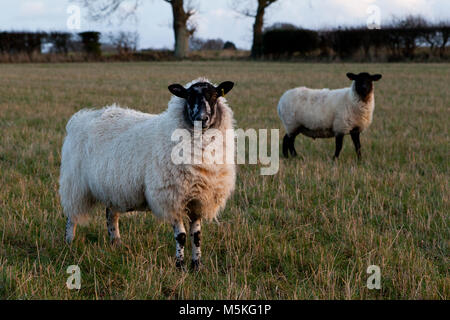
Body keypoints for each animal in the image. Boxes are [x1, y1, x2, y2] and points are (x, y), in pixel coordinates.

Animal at [59, 77, 236, 270]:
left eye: (215, 95)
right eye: (188, 96)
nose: (201, 119)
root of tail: (82, 118)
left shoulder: (198, 199)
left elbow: (196, 236)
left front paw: (196, 266)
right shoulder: (170, 197)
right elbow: (181, 236)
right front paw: (180, 266)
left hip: (114, 188)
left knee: (110, 214)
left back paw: (116, 243)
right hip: (74, 184)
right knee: (71, 216)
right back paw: (69, 243)